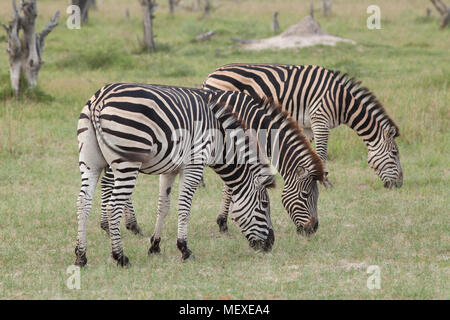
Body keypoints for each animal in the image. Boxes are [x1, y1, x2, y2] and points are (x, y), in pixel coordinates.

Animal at [75, 83, 276, 268]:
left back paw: (81, 257)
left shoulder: (169, 170)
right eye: (264, 204)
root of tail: (100, 98)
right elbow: (184, 208)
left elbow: (163, 207)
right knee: (113, 206)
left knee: (83, 203)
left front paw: (155, 246)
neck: (218, 141)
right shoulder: (194, 165)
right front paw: (184, 249)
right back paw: (120, 257)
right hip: (127, 162)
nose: (270, 244)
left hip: (90, 163)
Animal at [99, 89, 324, 241]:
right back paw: (110, 226)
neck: (252, 120)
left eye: (317, 196)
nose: (312, 229)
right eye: (305, 195)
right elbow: (230, 188)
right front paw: (223, 222)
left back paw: (129, 225)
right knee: (108, 183)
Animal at [202, 63, 402, 189]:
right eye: (394, 153)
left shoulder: (308, 126)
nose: (399, 185)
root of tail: (211, 74)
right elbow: (321, 153)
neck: (342, 101)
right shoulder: (320, 120)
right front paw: (326, 183)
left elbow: (305, 150)